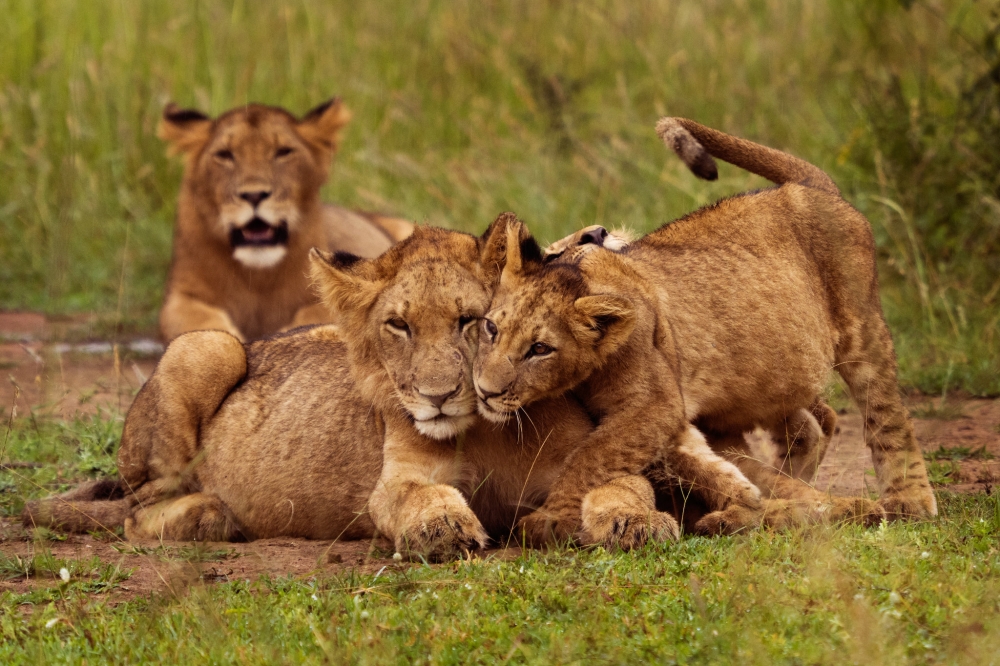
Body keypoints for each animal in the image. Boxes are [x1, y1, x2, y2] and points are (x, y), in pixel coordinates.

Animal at [24, 222, 679, 560]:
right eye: (399, 326)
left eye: (470, 321)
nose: (438, 396)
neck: (489, 431)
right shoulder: (395, 483)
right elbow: (419, 498)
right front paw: (444, 531)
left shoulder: (586, 460)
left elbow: (620, 486)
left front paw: (637, 524)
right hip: (207, 344)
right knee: (136, 514)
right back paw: (211, 514)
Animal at [157, 98, 414, 342]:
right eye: (224, 154)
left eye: (283, 152)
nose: (254, 195)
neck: (257, 278)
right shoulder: (180, 296)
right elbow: (195, 320)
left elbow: (315, 314)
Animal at [473, 119, 936, 543]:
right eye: (490, 329)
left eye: (539, 349)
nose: (485, 391)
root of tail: (807, 187)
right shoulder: (679, 422)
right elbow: (711, 467)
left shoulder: (656, 406)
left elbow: (590, 457)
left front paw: (551, 517)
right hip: (770, 374)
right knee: (811, 423)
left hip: (862, 330)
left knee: (886, 417)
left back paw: (908, 501)